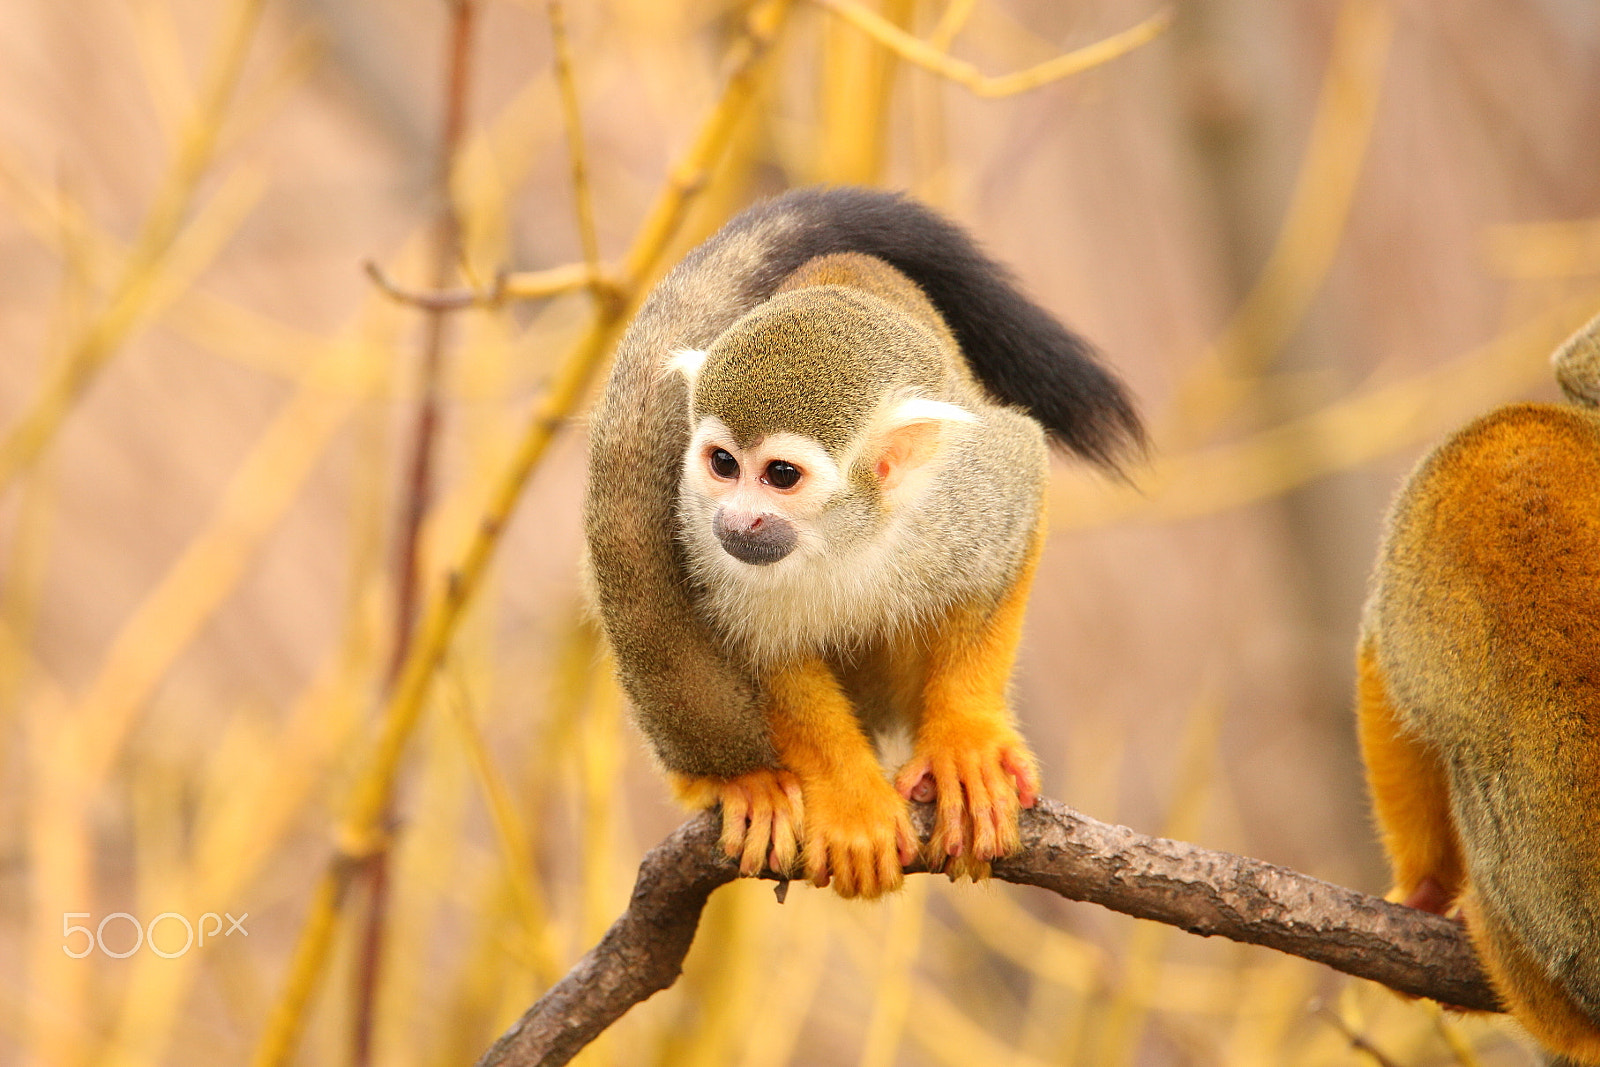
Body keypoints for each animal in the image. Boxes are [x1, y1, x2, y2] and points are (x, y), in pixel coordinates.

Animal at [583, 187, 1143, 899]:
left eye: (781, 476)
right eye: (722, 464)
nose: (736, 520)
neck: (843, 532)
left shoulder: (969, 489)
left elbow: (1016, 511)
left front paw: (965, 740)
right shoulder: (700, 530)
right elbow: (769, 652)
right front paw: (849, 800)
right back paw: (743, 780)